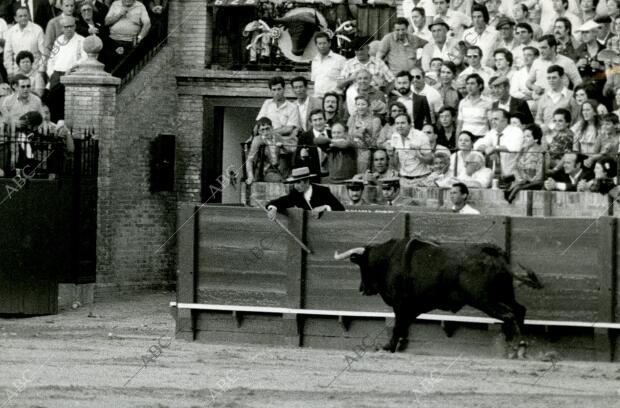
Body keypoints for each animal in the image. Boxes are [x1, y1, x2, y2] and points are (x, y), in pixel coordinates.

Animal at [334, 239, 544, 354]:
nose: (362, 288)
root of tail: (495, 254)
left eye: (362, 265)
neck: (388, 259)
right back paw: (520, 346)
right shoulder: (412, 307)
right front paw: (394, 346)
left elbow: (397, 326)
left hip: (484, 300)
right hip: (504, 294)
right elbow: (402, 326)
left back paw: (515, 346)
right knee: (519, 310)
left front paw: (387, 347)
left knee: (509, 315)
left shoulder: (400, 303)